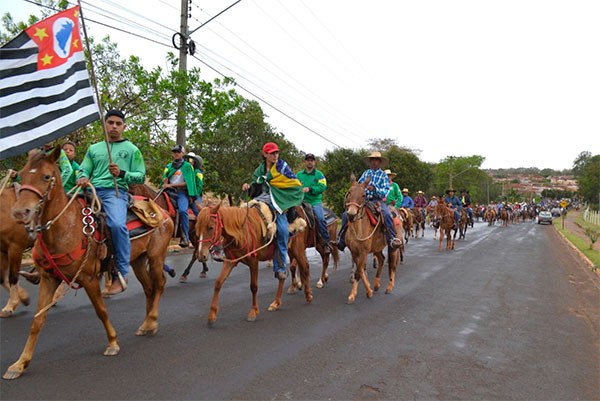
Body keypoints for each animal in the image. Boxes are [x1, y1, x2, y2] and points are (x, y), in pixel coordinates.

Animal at [4, 147, 173, 378]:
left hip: (156, 257)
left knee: (160, 284)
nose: (20, 212)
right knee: (149, 288)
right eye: (21, 174)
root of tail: (162, 212)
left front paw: (112, 343)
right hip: (138, 261)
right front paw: (20, 363)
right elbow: (37, 320)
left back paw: (153, 318)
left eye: (46, 176)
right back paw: (147, 323)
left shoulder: (88, 278)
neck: (65, 228)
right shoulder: (49, 279)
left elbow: (100, 310)